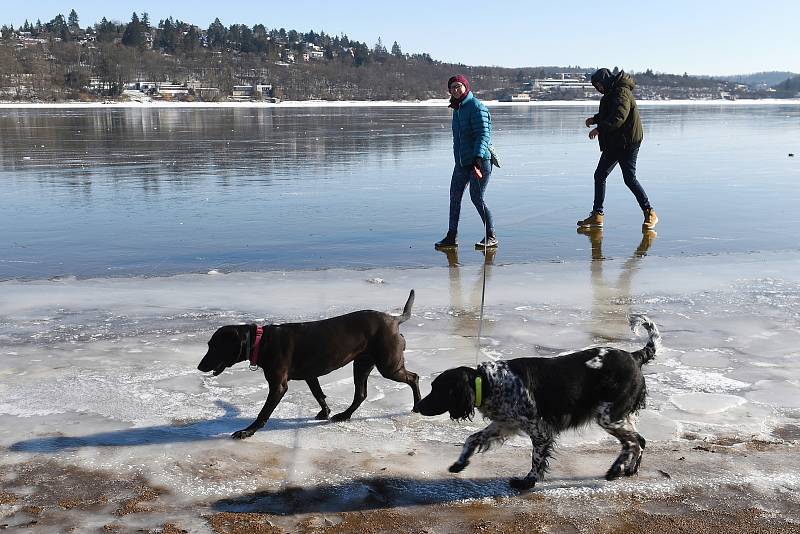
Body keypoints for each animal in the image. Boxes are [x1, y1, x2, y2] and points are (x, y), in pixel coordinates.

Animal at [198, 294, 418, 440]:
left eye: (214, 347)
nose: (199, 366)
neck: (261, 341)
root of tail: (394, 319)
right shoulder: (310, 375)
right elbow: (319, 395)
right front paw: (325, 412)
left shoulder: (278, 385)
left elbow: (264, 412)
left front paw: (248, 431)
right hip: (363, 363)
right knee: (361, 394)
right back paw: (344, 415)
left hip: (388, 365)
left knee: (414, 377)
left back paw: (416, 406)